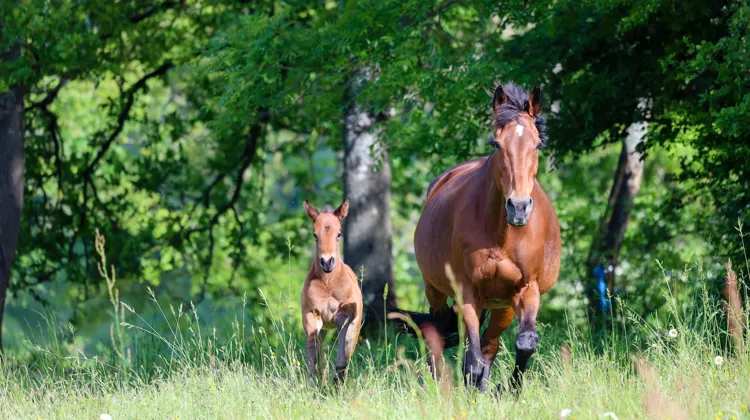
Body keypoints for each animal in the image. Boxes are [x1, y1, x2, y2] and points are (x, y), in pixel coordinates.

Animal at [300, 199, 363, 384]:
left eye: (339, 234)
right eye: (315, 235)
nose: (327, 262)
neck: (328, 284)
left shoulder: (348, 310)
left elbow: (342, 321)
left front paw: (338, 372)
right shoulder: (310, 313)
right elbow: (313, 349)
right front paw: (313, 380)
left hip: (355, 328)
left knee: (349, 349)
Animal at [410, 83, 561, 393]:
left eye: (537, 145)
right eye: (497, 144)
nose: (518, 207)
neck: (501, 234)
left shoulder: (527, 289)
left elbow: (523, 343)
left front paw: (509, 390)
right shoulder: (467, 291)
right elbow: (472, 358)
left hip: (502, 307)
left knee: (489, 346)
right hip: (436, 289)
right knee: (438, 330)